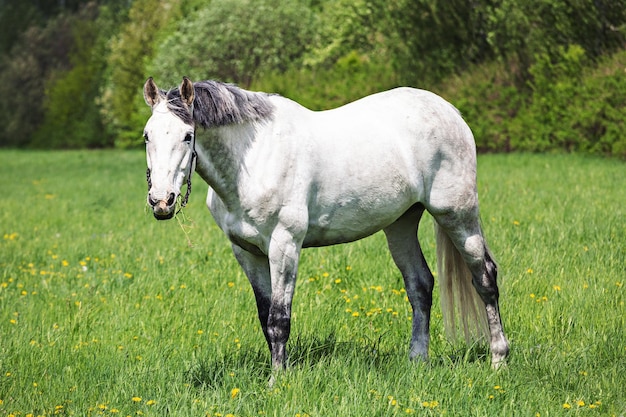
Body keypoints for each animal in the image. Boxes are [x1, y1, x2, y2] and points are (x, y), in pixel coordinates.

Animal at [144, 76, 510, 372]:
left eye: (188, 135)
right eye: (147, 136)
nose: (162, 201)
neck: (254, 160)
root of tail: (451, 112)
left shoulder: (285, 245)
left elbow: (279, 319)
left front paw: (278, 381)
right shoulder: (246, 251)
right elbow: (265, 317)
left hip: (457, 214)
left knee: (485, 279)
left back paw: (498, 360)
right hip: (401, 224)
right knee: (420, 286)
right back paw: (417, 362)